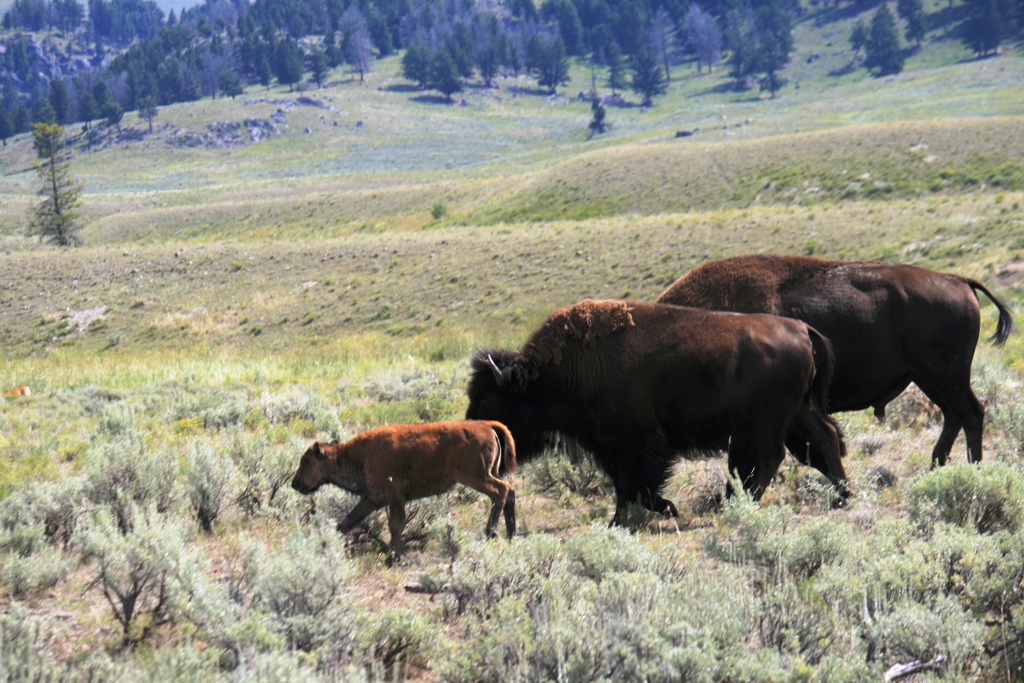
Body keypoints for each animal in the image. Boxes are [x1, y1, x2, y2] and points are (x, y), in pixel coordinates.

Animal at [290, 421, 516, 565]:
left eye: (306, 461)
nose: (295, 483)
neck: (360, 456)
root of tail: (486, 425)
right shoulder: (371, 500)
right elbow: (346, 522)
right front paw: (324, 546)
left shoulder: (395, 495)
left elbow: (395, 525)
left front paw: (393, 558)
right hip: (489, 473)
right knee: (510, 490)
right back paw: (510, 534)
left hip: (475, 476)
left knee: (500, 491)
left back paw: (491, 533)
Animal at [468, 299, 843, 524]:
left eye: (490, 401)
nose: (475, 433)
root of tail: (801, 328)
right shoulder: (611, 447)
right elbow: (623, 486)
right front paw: (619, 521)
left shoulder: (637, 442)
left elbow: (636, 484)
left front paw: (665, 510)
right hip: (798, 412)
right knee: (822, 441)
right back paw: (842, 495)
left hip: (769, 420)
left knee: (772, 456)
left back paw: (735, 502)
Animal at [659, 253, 1011, 466]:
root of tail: (959, 280)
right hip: (928, 377)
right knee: (954, 415)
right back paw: (937, 465)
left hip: (946, 375)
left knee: (971, 413)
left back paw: (972, 468)